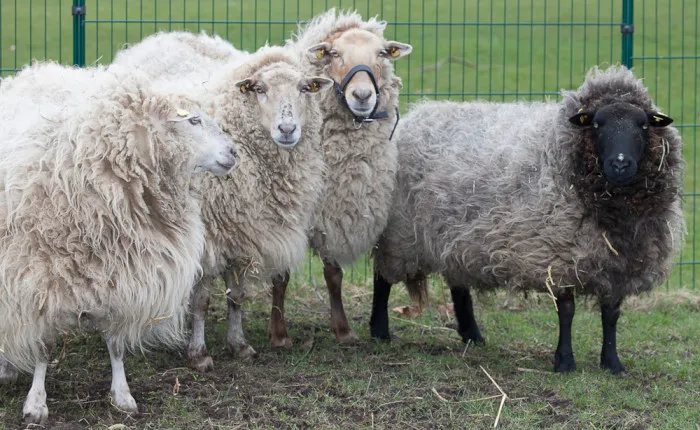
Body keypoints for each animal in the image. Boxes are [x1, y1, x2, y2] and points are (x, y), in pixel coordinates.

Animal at [0, 61, 237, 424]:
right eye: (193, 120)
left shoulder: (123, 278)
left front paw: (122, 395)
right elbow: (45, 347)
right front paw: (36, 404)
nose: (233, 152)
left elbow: (116, 345)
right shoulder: (42, 280)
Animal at [260, 9, 412, 348]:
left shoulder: (334, 210)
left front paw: (343, 330)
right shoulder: (283, 216)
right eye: (333, 53)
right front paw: (278, 333)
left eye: (382, 53)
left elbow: (334, 275)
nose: (362, 95)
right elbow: (280, 275)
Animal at [370, 66, 684, 374]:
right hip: (398, 234)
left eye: (643, 125)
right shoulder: (557, 255)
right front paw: (564, 361)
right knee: (382, 278)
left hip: (454, 236)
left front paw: (612, 363)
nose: (620, 164)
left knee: (458, 283)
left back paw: (472, 335)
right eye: (597, 125)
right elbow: (567, 311)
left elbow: (611, 314)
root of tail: (418, 115)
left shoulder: (619, 264)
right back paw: (379, 330)